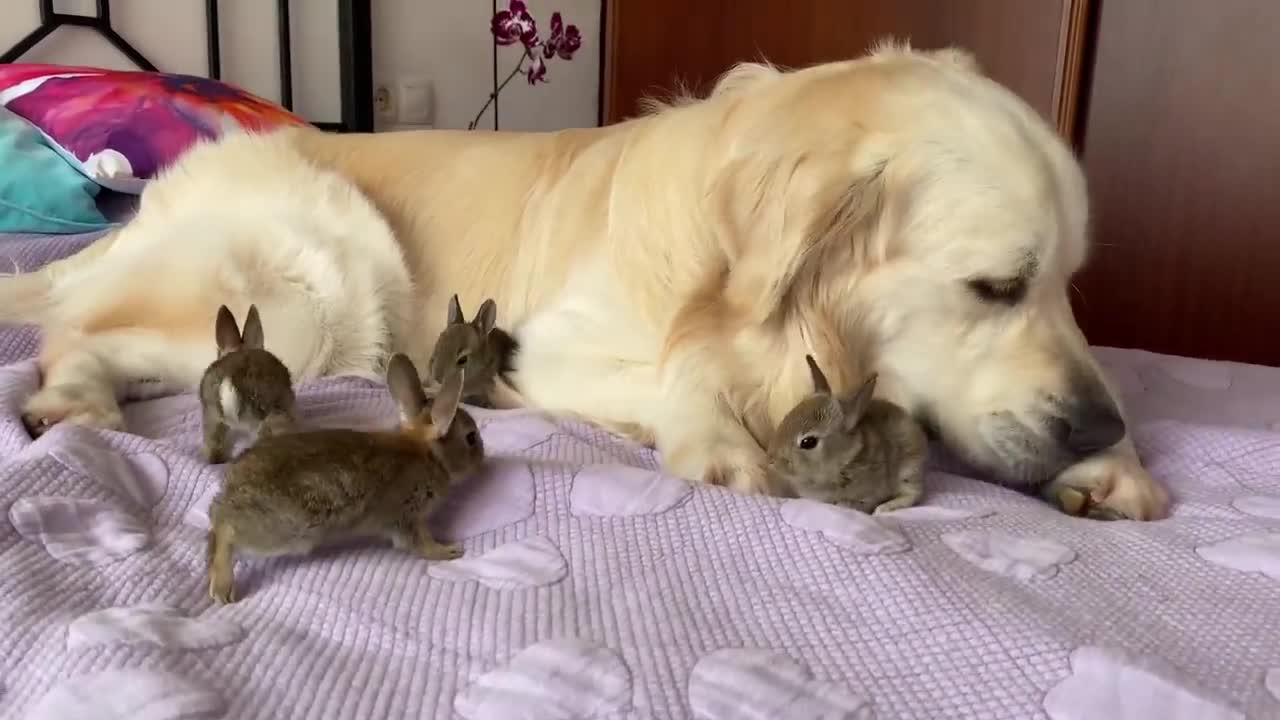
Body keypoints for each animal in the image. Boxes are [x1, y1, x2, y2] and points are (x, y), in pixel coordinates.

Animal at [0, 43, 1172, 515]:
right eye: (994, 286)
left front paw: (1115, 465)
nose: (1096, 425)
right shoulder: (549, 347)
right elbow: (693, 378)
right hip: (321, 279)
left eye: (1070, 285)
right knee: (87, 332)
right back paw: (73, 396)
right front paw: (718, 437)